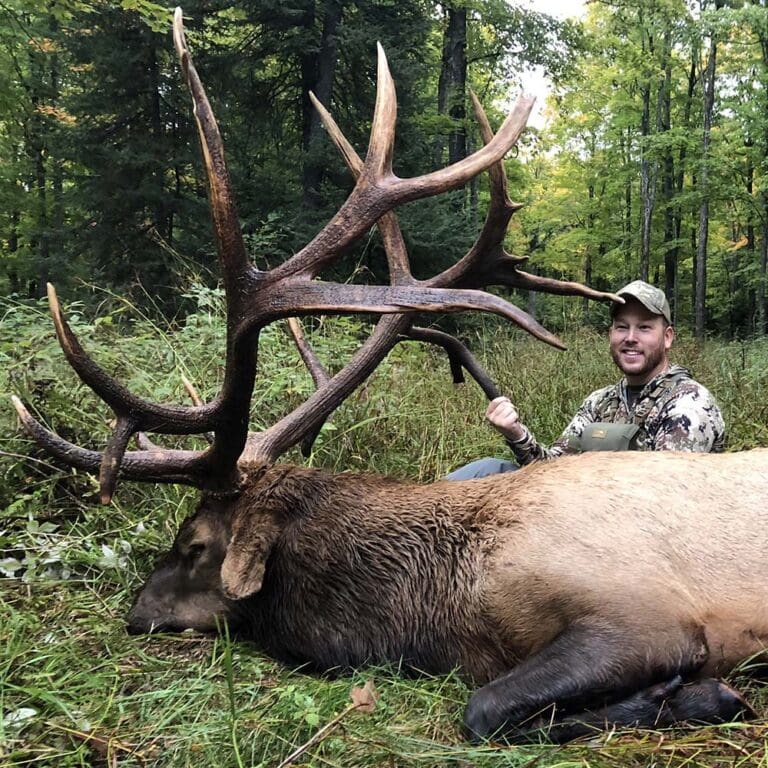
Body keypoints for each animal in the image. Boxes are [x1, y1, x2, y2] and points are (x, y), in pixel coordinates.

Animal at [12, 7, 768, 744]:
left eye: (194, 542)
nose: (137, 612)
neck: (443, 608)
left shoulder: (647, 612)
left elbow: (485, 709)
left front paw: (696, 694)